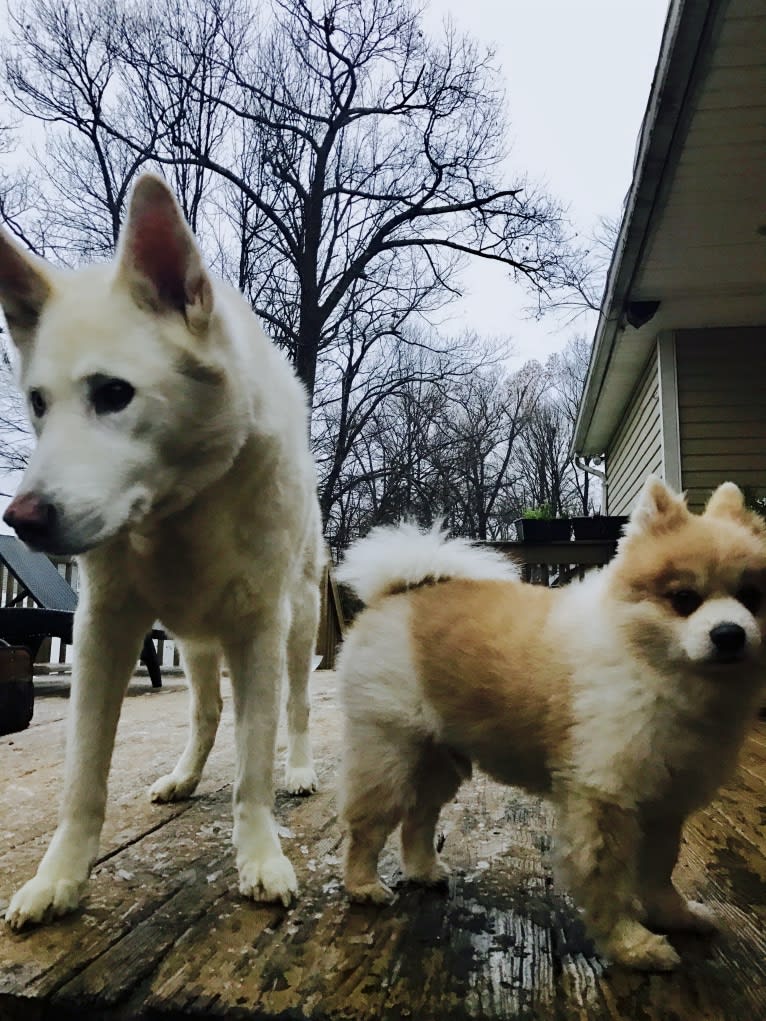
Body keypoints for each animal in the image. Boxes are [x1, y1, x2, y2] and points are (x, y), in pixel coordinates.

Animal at [0, 173, 324, 927]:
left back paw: (299, 769)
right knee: (206, 712)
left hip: (296, 628)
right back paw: (184, 775)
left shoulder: (258, 629)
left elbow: (254, 768)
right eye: (37, 402)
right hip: (196, 640)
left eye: (114, 393)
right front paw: (60, 876)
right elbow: (83, 777)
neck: (185, 509)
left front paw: (259, 853)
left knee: (295, 708)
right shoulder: (104, 627)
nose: (22, 519)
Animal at [334, 479, 766, 971]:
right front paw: (629, 944)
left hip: (437, 759)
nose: (730, 634)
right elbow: (609, 880)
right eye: (684, 600)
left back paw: (424, 871)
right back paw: (363, 885)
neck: (654, 669)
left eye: (752, 598)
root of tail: (398, 593)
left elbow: (659, 871)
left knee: (418, 819)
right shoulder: (605, 796)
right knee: (369, 825)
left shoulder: (664, 800)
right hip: (389, 751)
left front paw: (674, 915)